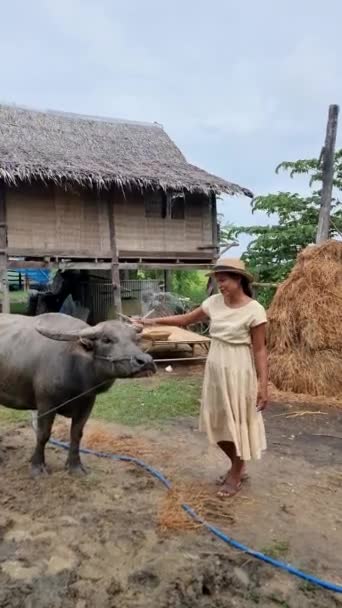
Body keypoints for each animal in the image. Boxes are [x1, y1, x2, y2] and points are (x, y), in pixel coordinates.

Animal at [0, 314, 155, 476]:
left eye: (134, 339)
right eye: (106, 339)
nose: (146, 362)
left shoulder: (87, 403)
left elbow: (76, 434)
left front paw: (75, 466)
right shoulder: (45, 404)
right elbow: (43, 435)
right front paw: (37, 466)